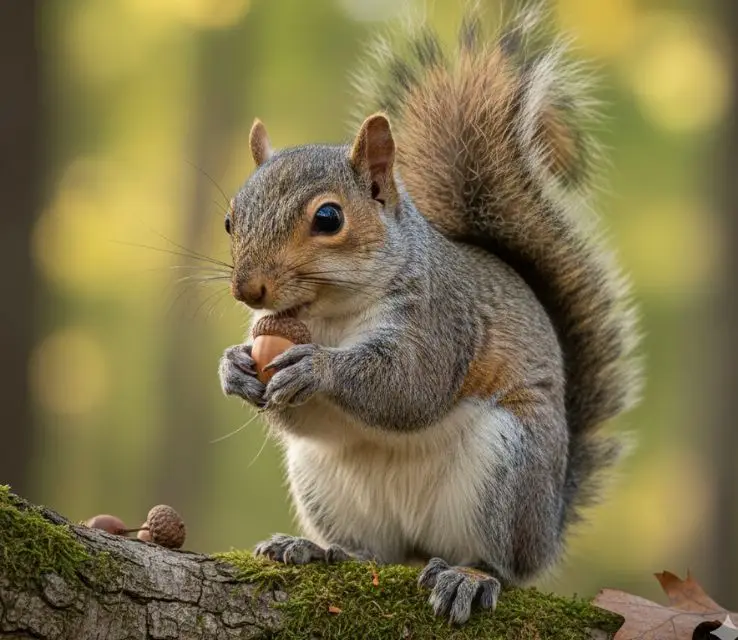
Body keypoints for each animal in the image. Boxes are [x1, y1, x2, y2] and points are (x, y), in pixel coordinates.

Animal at [218, 4, 640, 625]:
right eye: (230, 220)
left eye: (328, 218)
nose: (248, 289)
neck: (331, 316)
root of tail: (549, 528)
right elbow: (306, 417)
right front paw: (234, 368)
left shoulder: (442, 320)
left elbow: (410, 386)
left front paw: (319, 368)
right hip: (325, 483)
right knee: (373, 551)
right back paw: (318, 548)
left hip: (509, 469)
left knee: (502, 565)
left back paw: (469, 576)